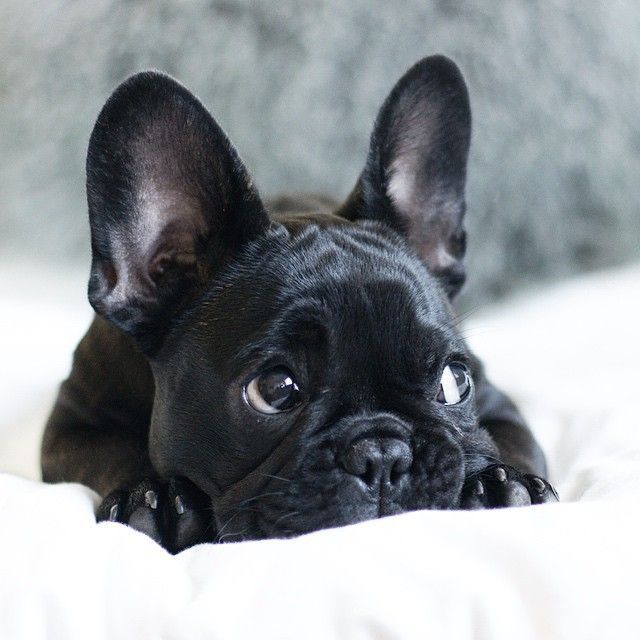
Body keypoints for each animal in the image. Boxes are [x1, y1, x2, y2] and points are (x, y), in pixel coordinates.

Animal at [42, 55, 556, 552]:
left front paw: (501, 484)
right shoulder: (72, 426)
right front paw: (156, 499)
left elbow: (509, 441)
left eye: (454, 382)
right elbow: (113, 453)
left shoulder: (499, 404)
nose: (383, 454)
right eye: (275, 390)